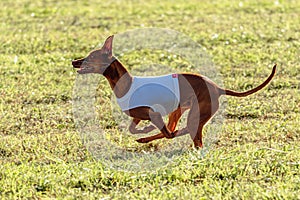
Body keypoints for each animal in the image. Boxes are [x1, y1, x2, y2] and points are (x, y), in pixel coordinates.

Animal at [72, 35, 276, 148]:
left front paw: (147, 130)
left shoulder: (152, 113)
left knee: (183, 133)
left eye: (90, 56)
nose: (73, 61)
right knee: (179, 131)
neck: (126, 84)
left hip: (195, 113)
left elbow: (159, 129)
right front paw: (143, 131)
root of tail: (218, 88)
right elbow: (133, 128)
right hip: (179, 111)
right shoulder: (138, 115)